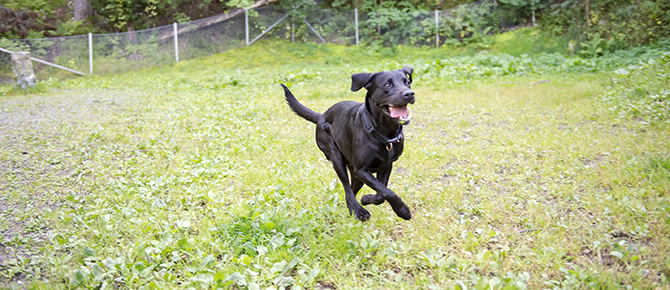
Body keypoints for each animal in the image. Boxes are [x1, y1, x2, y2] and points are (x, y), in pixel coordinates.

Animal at [280, 68, 418, 221]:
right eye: (387, 84)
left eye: (407, 82)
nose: (409, 93)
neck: (383, 133)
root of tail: (322, 116)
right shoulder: (362, 170)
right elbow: (388, 192)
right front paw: (403, 211)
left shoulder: (386, 166)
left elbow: (381, 194)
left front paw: (367, 199)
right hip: (336, 157)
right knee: (347, 187)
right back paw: (358, 210)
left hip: (355, 174)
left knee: (351, 190)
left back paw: (354, 207)